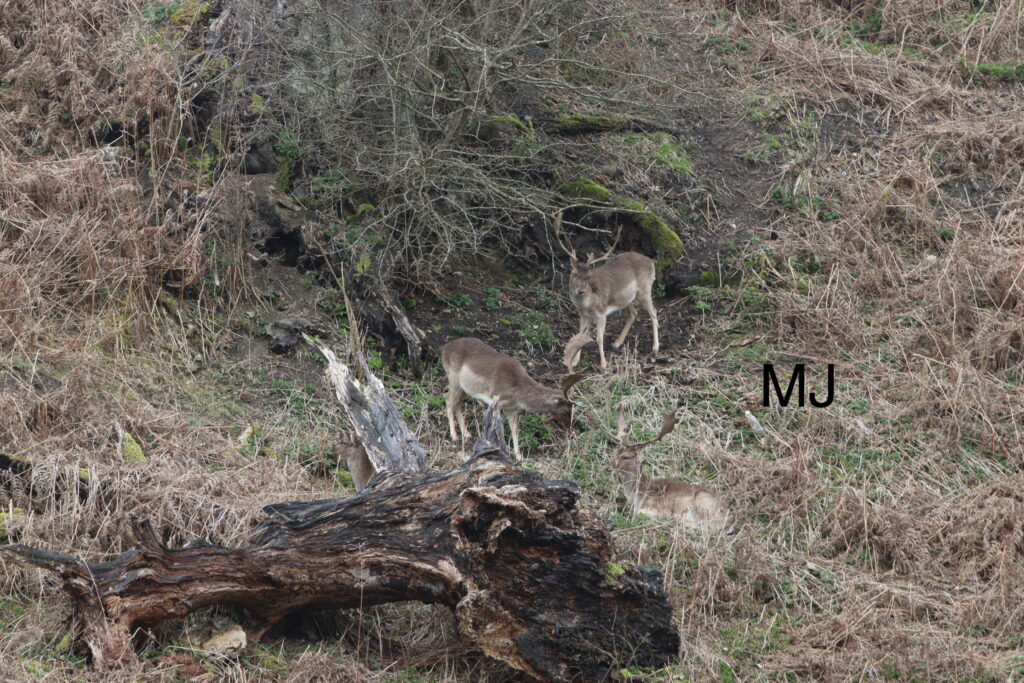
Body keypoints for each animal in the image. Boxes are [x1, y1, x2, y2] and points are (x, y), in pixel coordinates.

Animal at [441, 337, 584, 461]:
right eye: (567, 409)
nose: (569, 427)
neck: (517, 390)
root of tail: (444, 348)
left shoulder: (512, 408)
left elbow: (515, 429)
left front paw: (519, 456)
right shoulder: (496, 400)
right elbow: (498, 428)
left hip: (465, 388)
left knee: (457, 403)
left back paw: (466, 433)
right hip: (454, 379)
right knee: (448, 400)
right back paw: (454, 436)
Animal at [555, 213, 659, 370]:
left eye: (588, 276)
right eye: (573, 273)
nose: (580, 291)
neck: (587, 304)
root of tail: (651, 262)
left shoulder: (602, 311)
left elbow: (599, 338)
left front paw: (603, 363)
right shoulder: (583, 315)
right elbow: (580, 335)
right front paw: (574, 361)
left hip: (645, 289)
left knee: (654, 312)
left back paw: (655, 348)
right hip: (627, 298)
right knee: (633, 313)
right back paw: (616, 343)